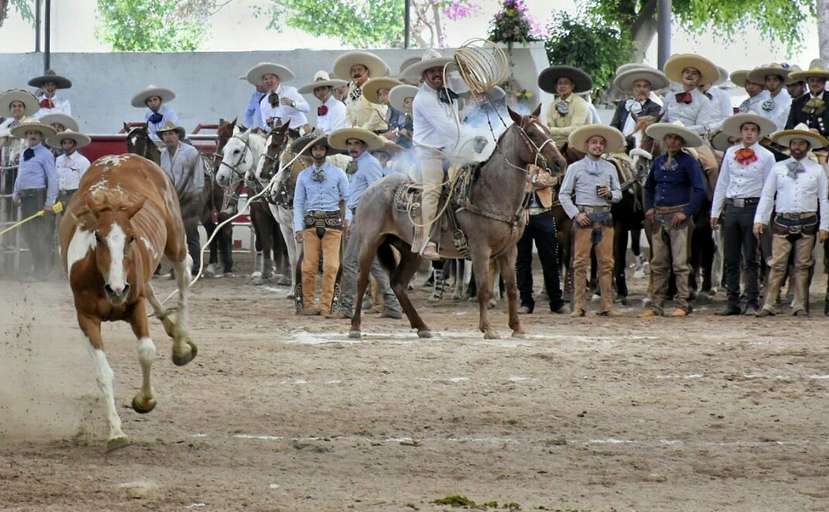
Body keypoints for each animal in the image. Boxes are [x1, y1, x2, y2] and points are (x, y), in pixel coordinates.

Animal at [58, 153, 197, 452]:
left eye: (131, 237)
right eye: (97, 236)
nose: (117, 289)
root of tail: (125, 156)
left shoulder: (135, 307)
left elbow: (146, 352)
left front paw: (144, 402)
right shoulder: (86, 318)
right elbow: (103, 373)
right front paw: (116, 433)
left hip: (175, 240)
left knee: (184, 275)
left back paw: (180, 343)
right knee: (152, 287)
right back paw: (171, 328)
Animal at [346, 107, 568, 340]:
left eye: (547, 130)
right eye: (532, 134)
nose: (560, 163)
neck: (492, 192)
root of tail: (372, 188)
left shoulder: (509, 250)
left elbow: (512, 288)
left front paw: (517, 328)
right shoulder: (481, 250)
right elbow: (483, 289)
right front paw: (488, 329)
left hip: (411, 250)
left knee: (398, 284)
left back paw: (422, 327)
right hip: (370, 242)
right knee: (362, 280)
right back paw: (355, 327)